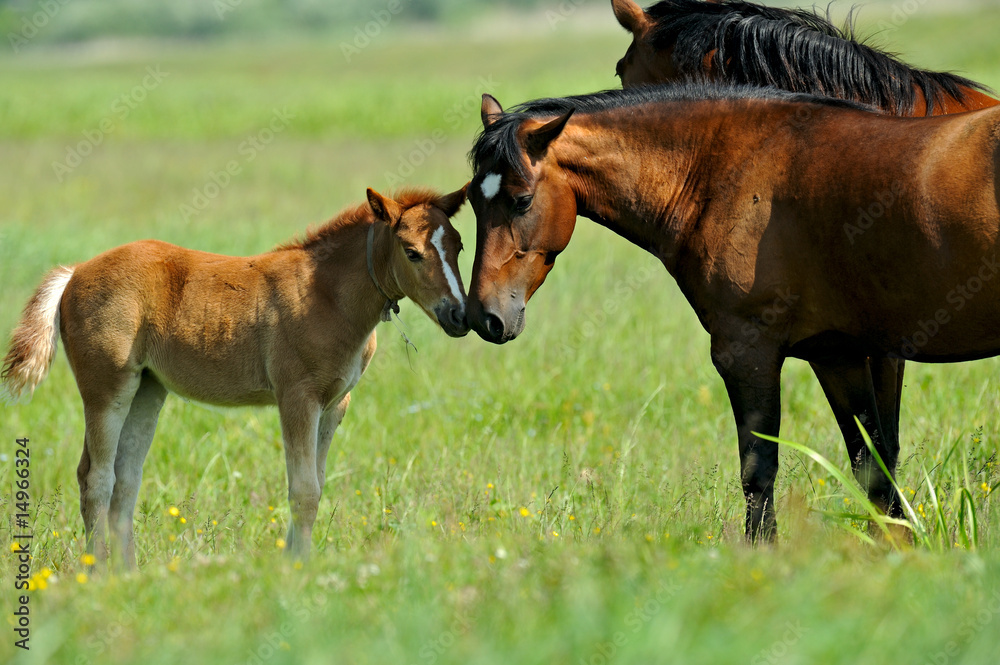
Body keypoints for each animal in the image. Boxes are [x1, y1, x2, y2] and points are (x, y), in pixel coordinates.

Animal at [2, 186, 469, 566]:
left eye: (460, 247)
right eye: (411, 251)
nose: (460, 316)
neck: (326, 295)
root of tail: (76, 271)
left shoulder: (335, 404)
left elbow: (316, 484)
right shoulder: (297, 397)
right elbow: (303, 490)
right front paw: (296, 568)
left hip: (148, 389)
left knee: (125, 480)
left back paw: (129, 572)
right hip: (107, 388)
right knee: (95, 477)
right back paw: (98, 572)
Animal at [464, 84, 1000, 542]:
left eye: (521, 200)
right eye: (470, 199)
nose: (484, 316)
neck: (728, 169)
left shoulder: (747, 353)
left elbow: (758, 470)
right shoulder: (839, 355)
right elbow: (874, 467)